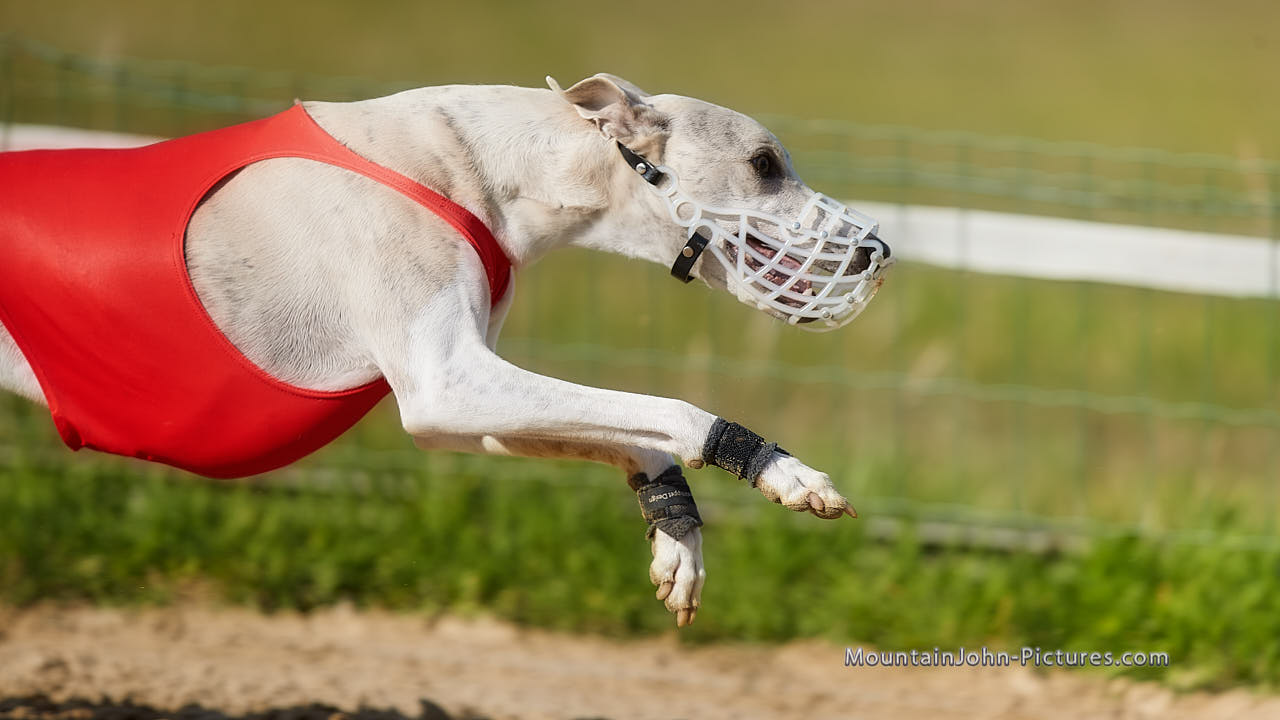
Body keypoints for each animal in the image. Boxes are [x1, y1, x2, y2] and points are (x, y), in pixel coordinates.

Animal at [0, 74, 891, 626]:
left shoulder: (473, 414)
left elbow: (636, 435)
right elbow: (669, 407)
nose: (876, 253)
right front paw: (783, 472)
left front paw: (677, 540)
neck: (490, 165)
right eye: (764, 163)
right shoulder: (448, 383)